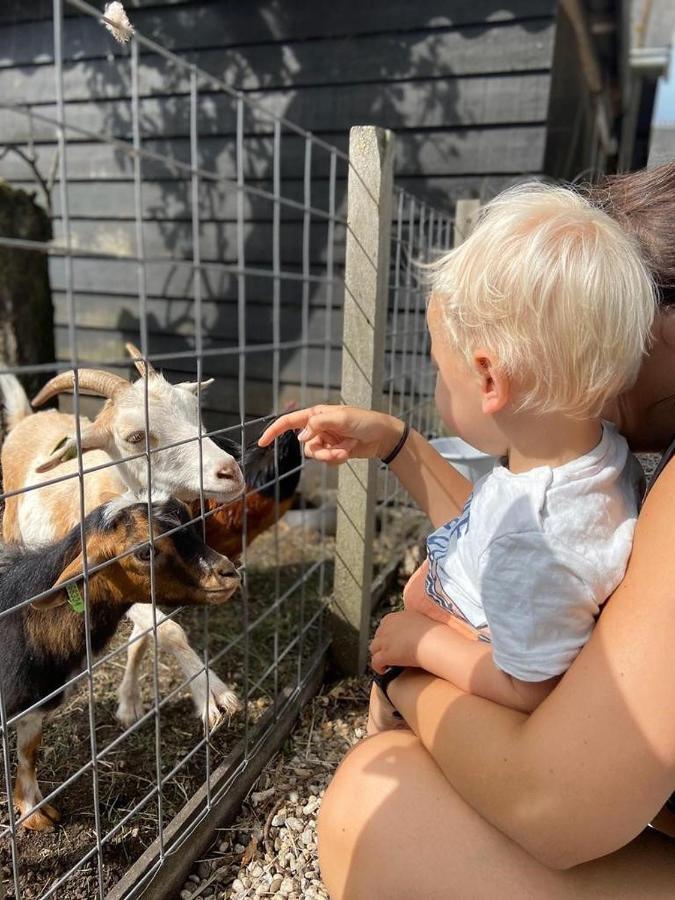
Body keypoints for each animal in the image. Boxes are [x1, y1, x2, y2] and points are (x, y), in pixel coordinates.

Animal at [0, 342, 247, 728]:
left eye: (195, 413)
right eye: (135, 437)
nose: (230, 471)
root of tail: (27, 418)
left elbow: (143, 637)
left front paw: (129, 704)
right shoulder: (107, 573)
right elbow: (168, 630)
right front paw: (214, 696)